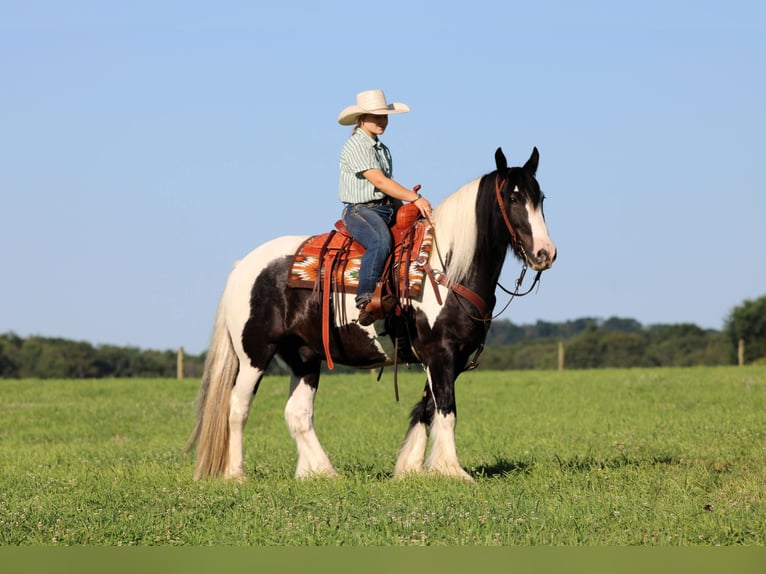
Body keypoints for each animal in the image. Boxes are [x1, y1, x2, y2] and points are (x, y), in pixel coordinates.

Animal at [188, 147, 556, 482]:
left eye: (540, 197)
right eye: (512, 198)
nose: (545, 253)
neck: (447, 268)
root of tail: (243, 267)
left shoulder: (449, 357)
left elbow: (426, 409)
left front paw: (411, 469)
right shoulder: (440, 353)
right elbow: (446, 410)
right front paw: (452, 471)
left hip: (303, 356)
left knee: (298, 413)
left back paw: (321, 472)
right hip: (254, 354)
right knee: (237, 408)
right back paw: (236, 475)